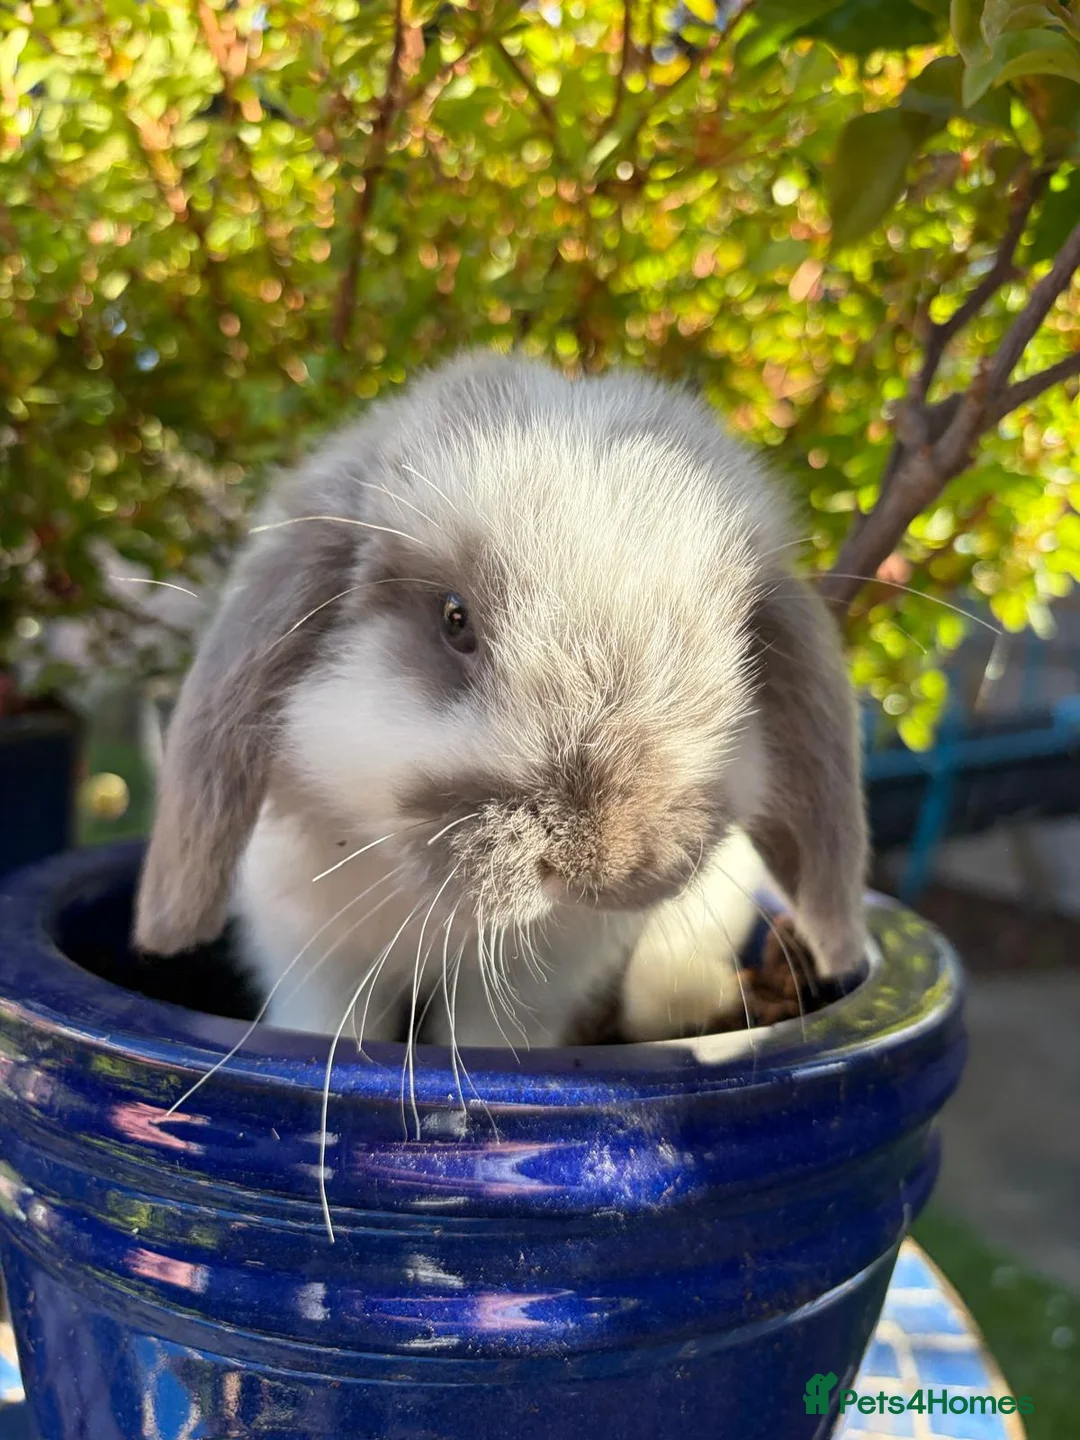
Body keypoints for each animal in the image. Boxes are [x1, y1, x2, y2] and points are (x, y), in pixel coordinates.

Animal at [133, 348, 868, 1051]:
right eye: (455, 618)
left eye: (744, 648)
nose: (606, 864)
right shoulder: (314, 958)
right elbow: (330, 1027)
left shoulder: (534, 989)